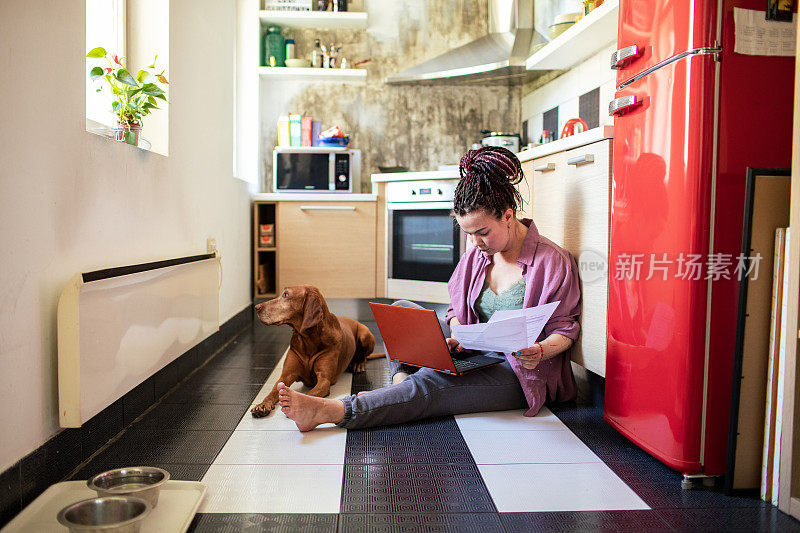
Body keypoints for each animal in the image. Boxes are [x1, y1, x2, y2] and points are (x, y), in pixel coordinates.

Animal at [253, 284, 382, 418]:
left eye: (286, 295)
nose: (256, 307)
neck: (308, 340)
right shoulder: (286, 376)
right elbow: (272, 391)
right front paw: (262, 405)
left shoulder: (324, 380)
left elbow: (310, 394)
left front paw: (298, 404)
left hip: (365, 333)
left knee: (364, 356)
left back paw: (358, 364)